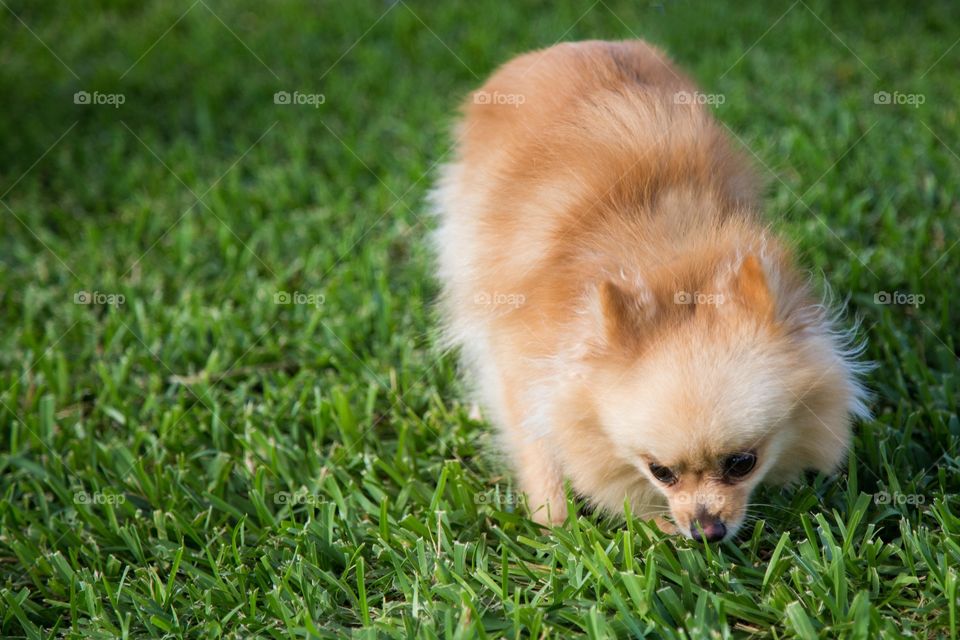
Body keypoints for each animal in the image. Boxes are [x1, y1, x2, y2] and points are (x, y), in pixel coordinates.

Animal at [432, 40, 872, 540]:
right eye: (660, 472)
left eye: (742, 463)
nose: (706, 531)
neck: (672, 266)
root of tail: (563, 47)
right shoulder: (523, 350)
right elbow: (533, 437)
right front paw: (554, 525)